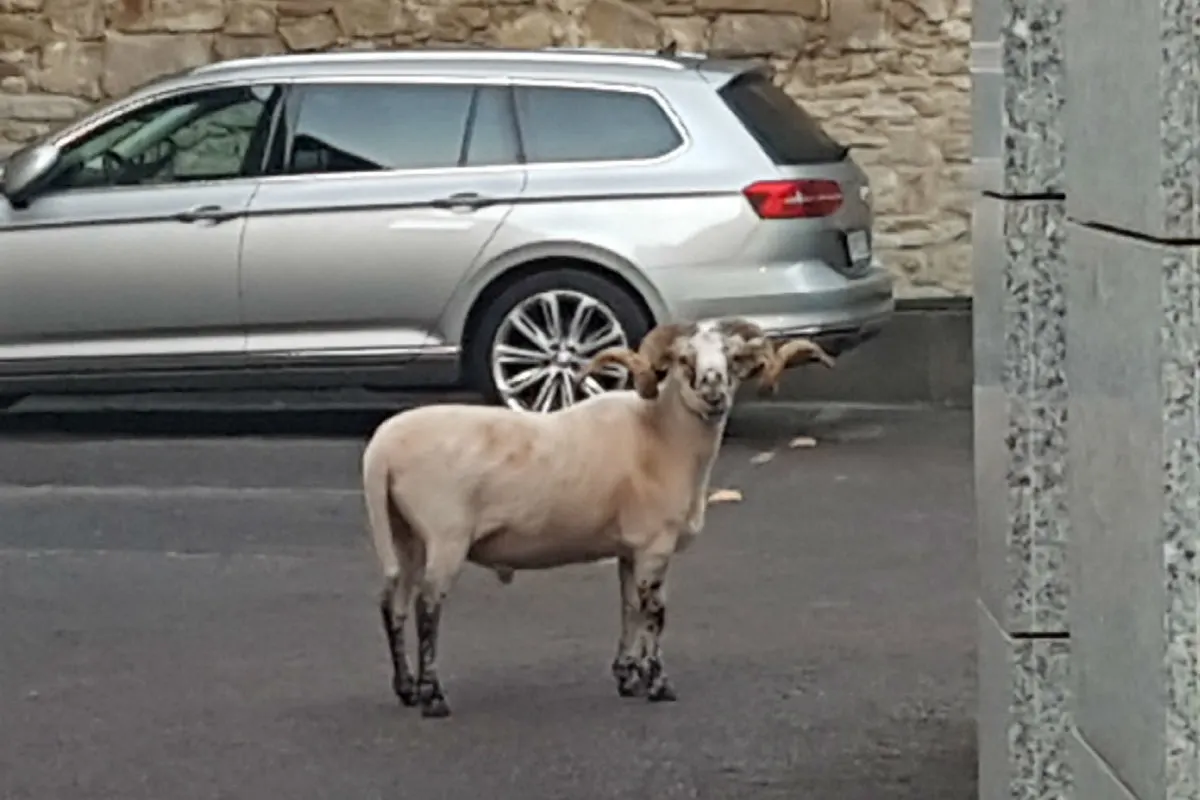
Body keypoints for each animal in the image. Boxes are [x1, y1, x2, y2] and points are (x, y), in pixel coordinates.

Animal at [360, 317, 835, 718]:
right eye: (685, 360)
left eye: (732, 359)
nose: (714, 394)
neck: (659, 437)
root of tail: (381, 450)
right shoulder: (654, 545)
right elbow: (655, 612)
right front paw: (659, 684)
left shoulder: (628, 548)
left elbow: (629, 607)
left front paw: (628, 678)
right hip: (445, 535)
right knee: (426, 607)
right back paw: (433, 698)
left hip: (406, 535)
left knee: (393, 603)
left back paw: (406, 689)